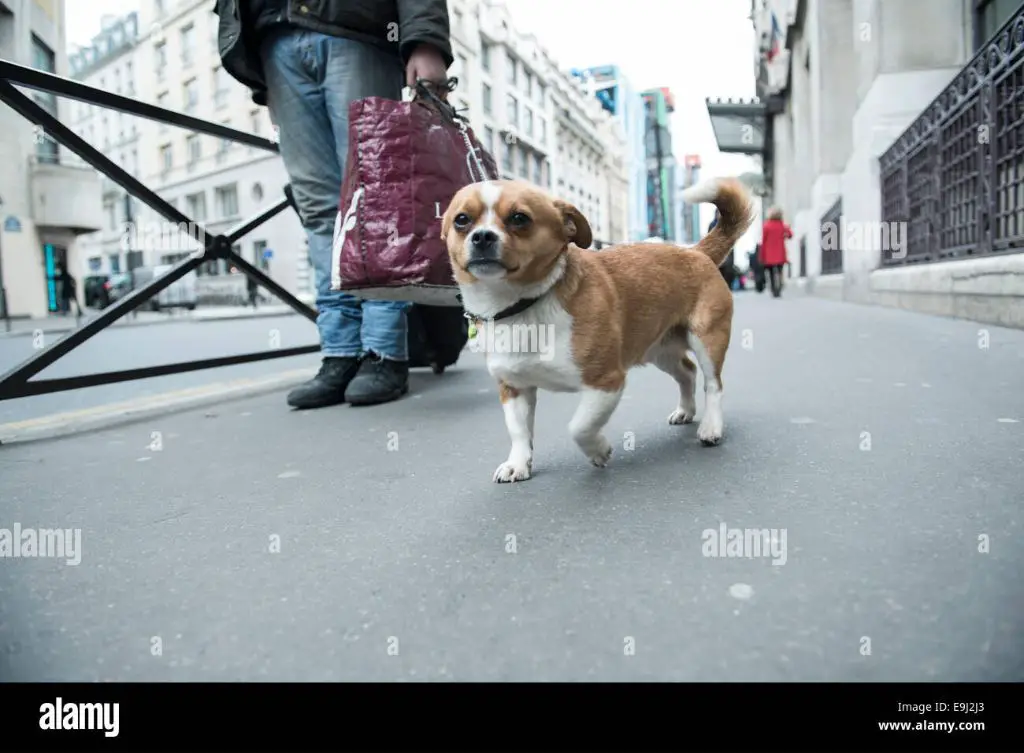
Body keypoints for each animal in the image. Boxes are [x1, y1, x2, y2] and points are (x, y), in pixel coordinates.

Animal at [440, 176, 753, 483]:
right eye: (462, 220)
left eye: (519, 218)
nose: (482, 236)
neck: (522, 305)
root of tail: (695, 251)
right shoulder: (514, 388)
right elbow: (518, 430)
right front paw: (518, 463)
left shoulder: (606, 383)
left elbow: (579, 426)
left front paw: (598, 450)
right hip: (659, 351)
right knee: (687, 372)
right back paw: (686, 410)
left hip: (707, 340)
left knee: (712, 384)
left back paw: (711, 426)